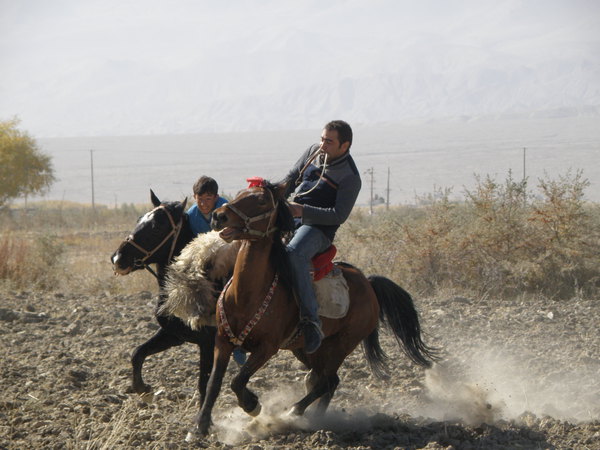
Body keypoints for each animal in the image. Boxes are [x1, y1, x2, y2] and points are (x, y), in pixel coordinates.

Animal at [110, 189, 218, 404]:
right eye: (139, 219)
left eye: (157, 226)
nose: (118, 258)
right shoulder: (173, 334)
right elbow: (137, 353)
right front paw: (143, 389)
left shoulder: (208, 342)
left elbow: (204, 386)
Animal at [192, 181, 436, 438]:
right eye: (240, 194)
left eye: (261, 200)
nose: (218, 216)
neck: (246, 295)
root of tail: (369, 284)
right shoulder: (222, 341)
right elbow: (214, 383)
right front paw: (200, 426)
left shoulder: (266, 348)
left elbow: (238, 381)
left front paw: (252, 405)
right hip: (310, 350)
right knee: (329, 381)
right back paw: (316, 419)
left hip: (342, 345)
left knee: (326, 381)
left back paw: (295, 413)